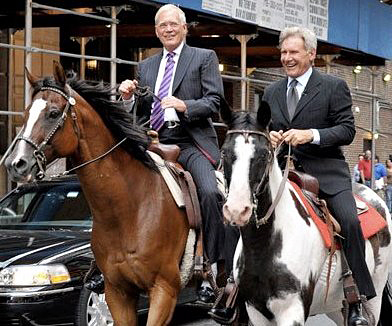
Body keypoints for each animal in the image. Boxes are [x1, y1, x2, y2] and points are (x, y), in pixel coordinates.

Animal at [4, 61, 190, 326]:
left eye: (53, 113)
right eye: (25, 114)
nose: (15, 163)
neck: (129, 210)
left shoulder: (164, 289)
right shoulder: (117, 291)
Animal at [220, 105, 392, 324]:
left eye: (264, 155)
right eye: (224, 152)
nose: (237, 209)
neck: (265, 242)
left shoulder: (292, 310)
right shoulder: (256, 311)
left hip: (375, 295)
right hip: (336, 306)